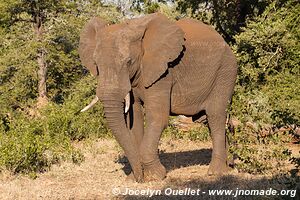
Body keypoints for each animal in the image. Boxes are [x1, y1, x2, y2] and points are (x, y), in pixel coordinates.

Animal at [78, 11, 238, 182]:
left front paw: (156, 176)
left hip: (226, 71)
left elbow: (157, 117)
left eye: (129, 62)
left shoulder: (164, 72)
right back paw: (228, 167)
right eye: (96, 65)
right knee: (208, 119)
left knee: (215, 116)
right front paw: (136, 177)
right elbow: (134, 121)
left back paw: (215, 172)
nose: (138, 177)